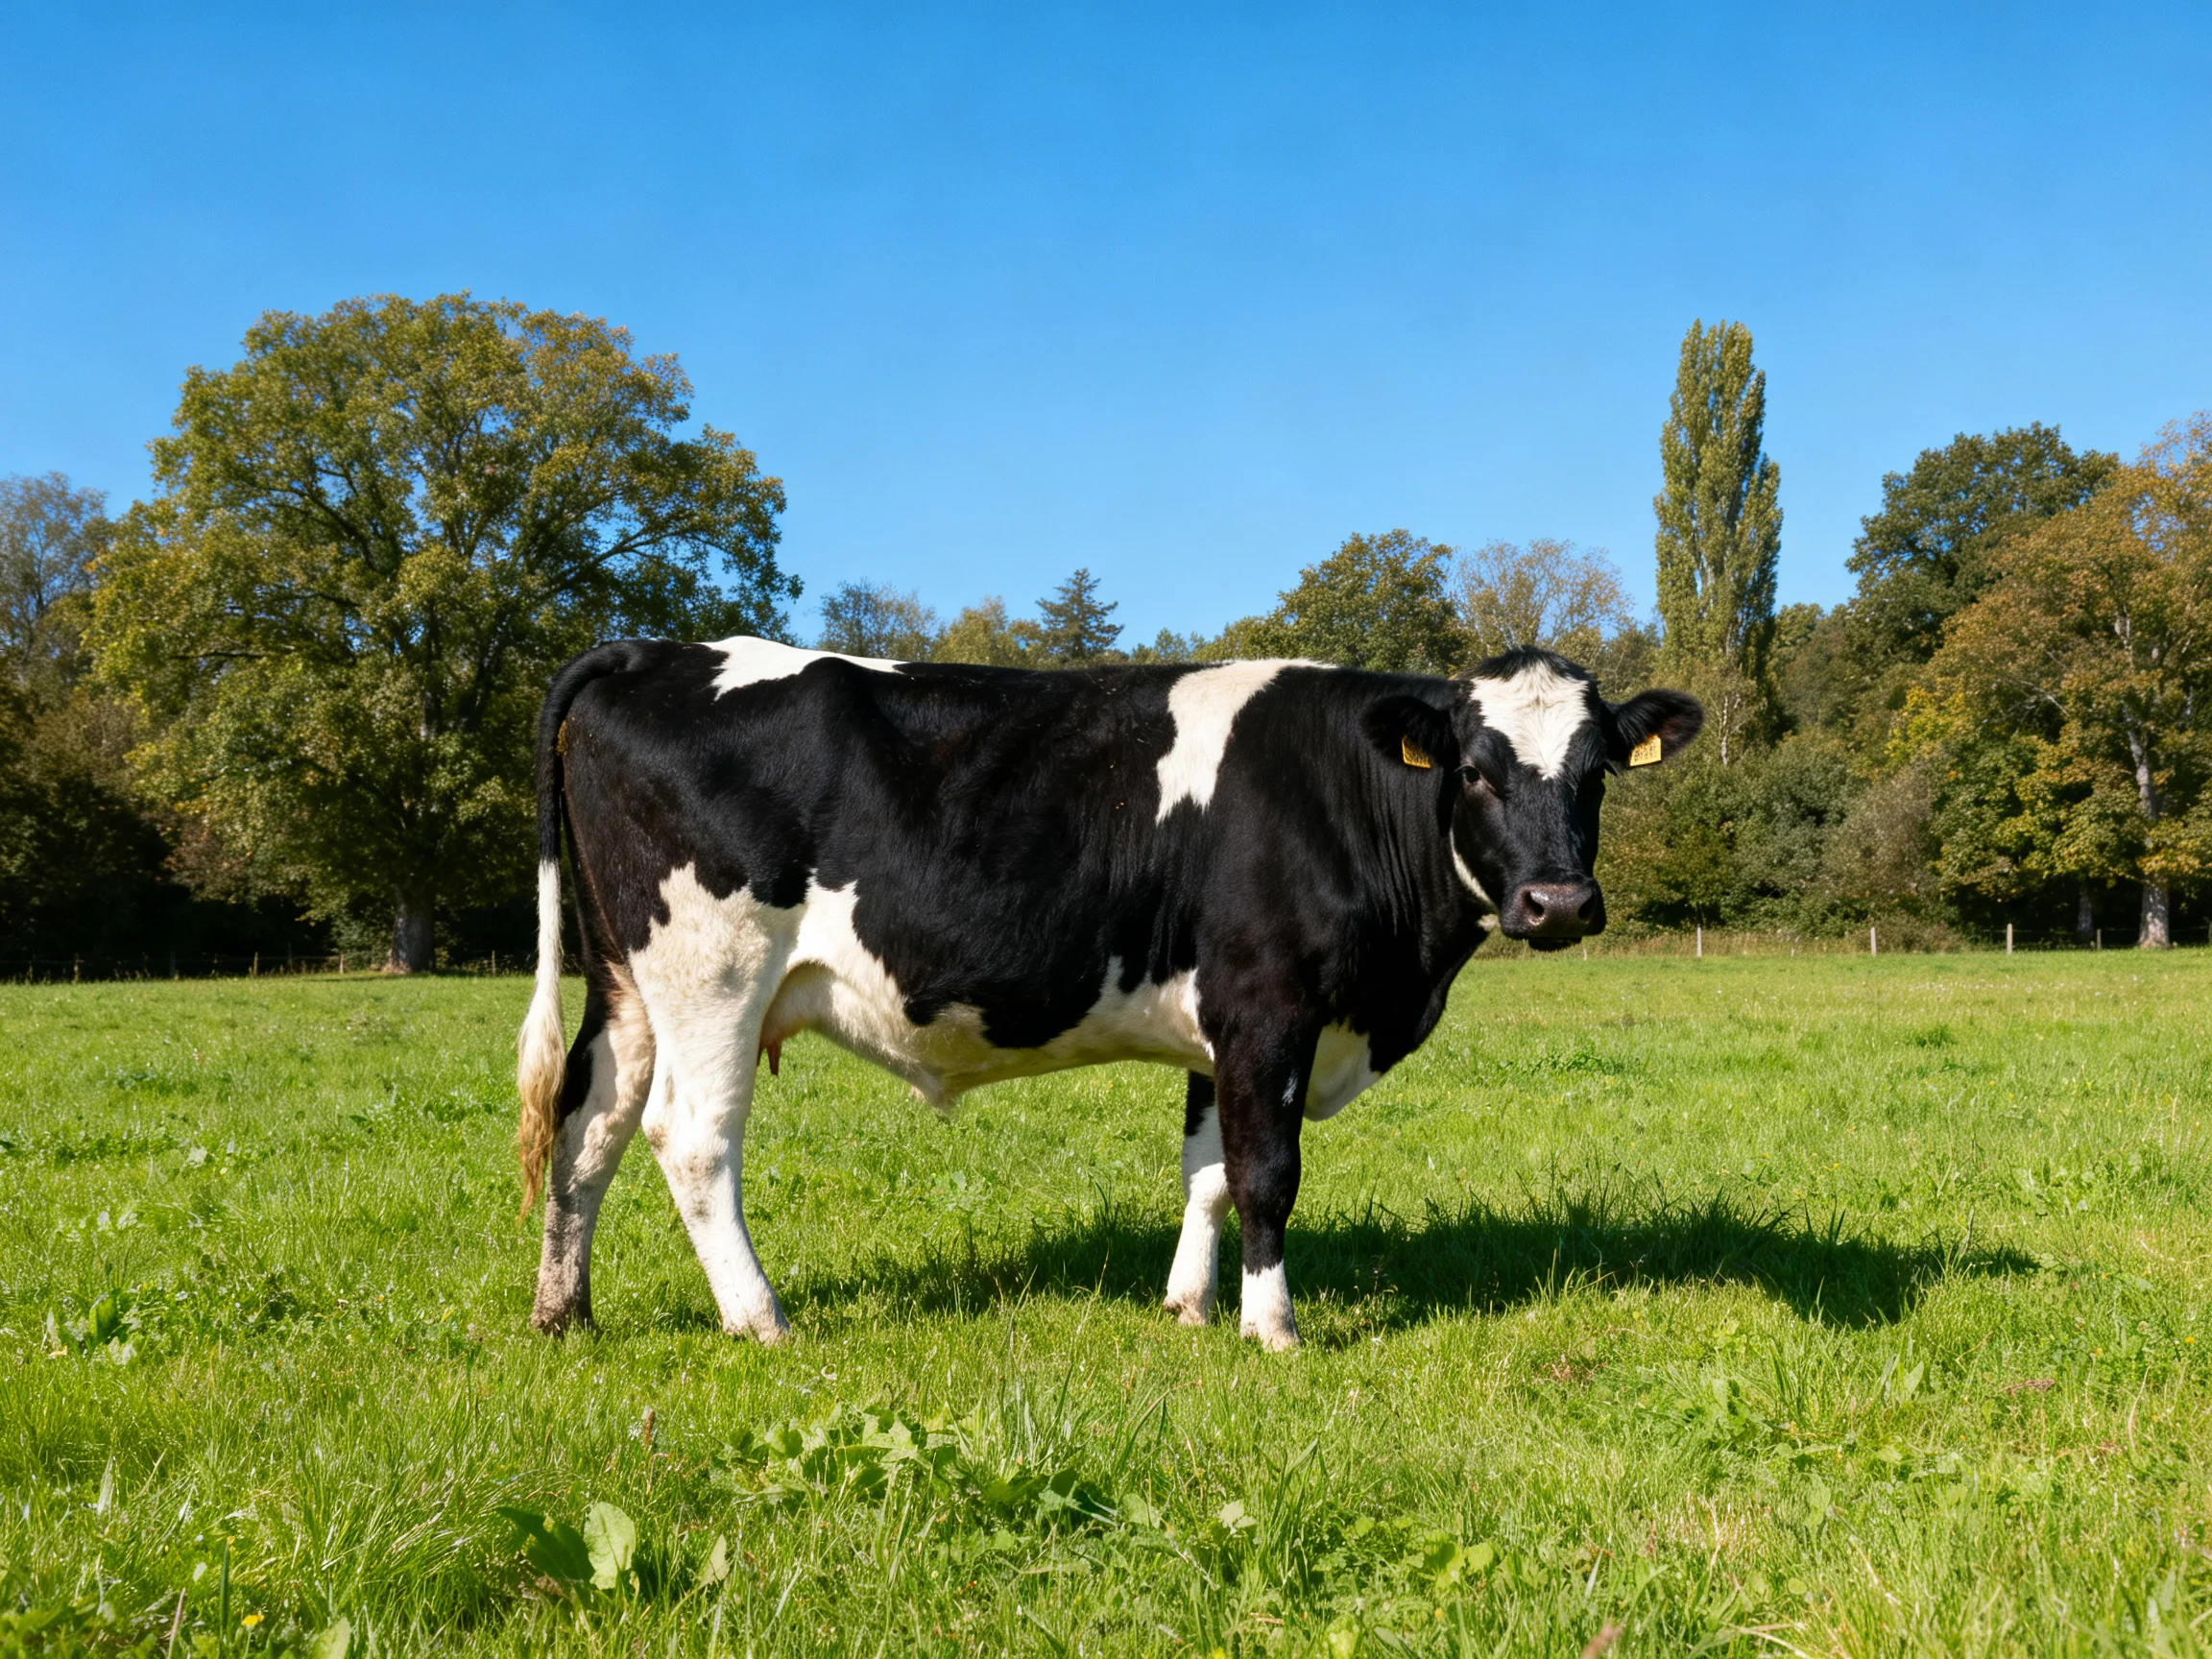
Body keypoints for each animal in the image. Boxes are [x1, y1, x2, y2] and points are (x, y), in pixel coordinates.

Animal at [515, 637, 1701, 1348]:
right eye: (1474, 771)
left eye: (1597, 773)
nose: (1558, 902)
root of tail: (652, 650)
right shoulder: (1268, 1007)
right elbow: (1267, 1176)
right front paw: (1273, 1328)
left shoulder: (1224, 1031)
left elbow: (1208, 1173)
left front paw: (1187, 1305)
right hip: (710, 974)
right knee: (690, 1140)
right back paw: (760, 1317)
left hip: (626, 982)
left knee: (587, 1127)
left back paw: (564, 1312)